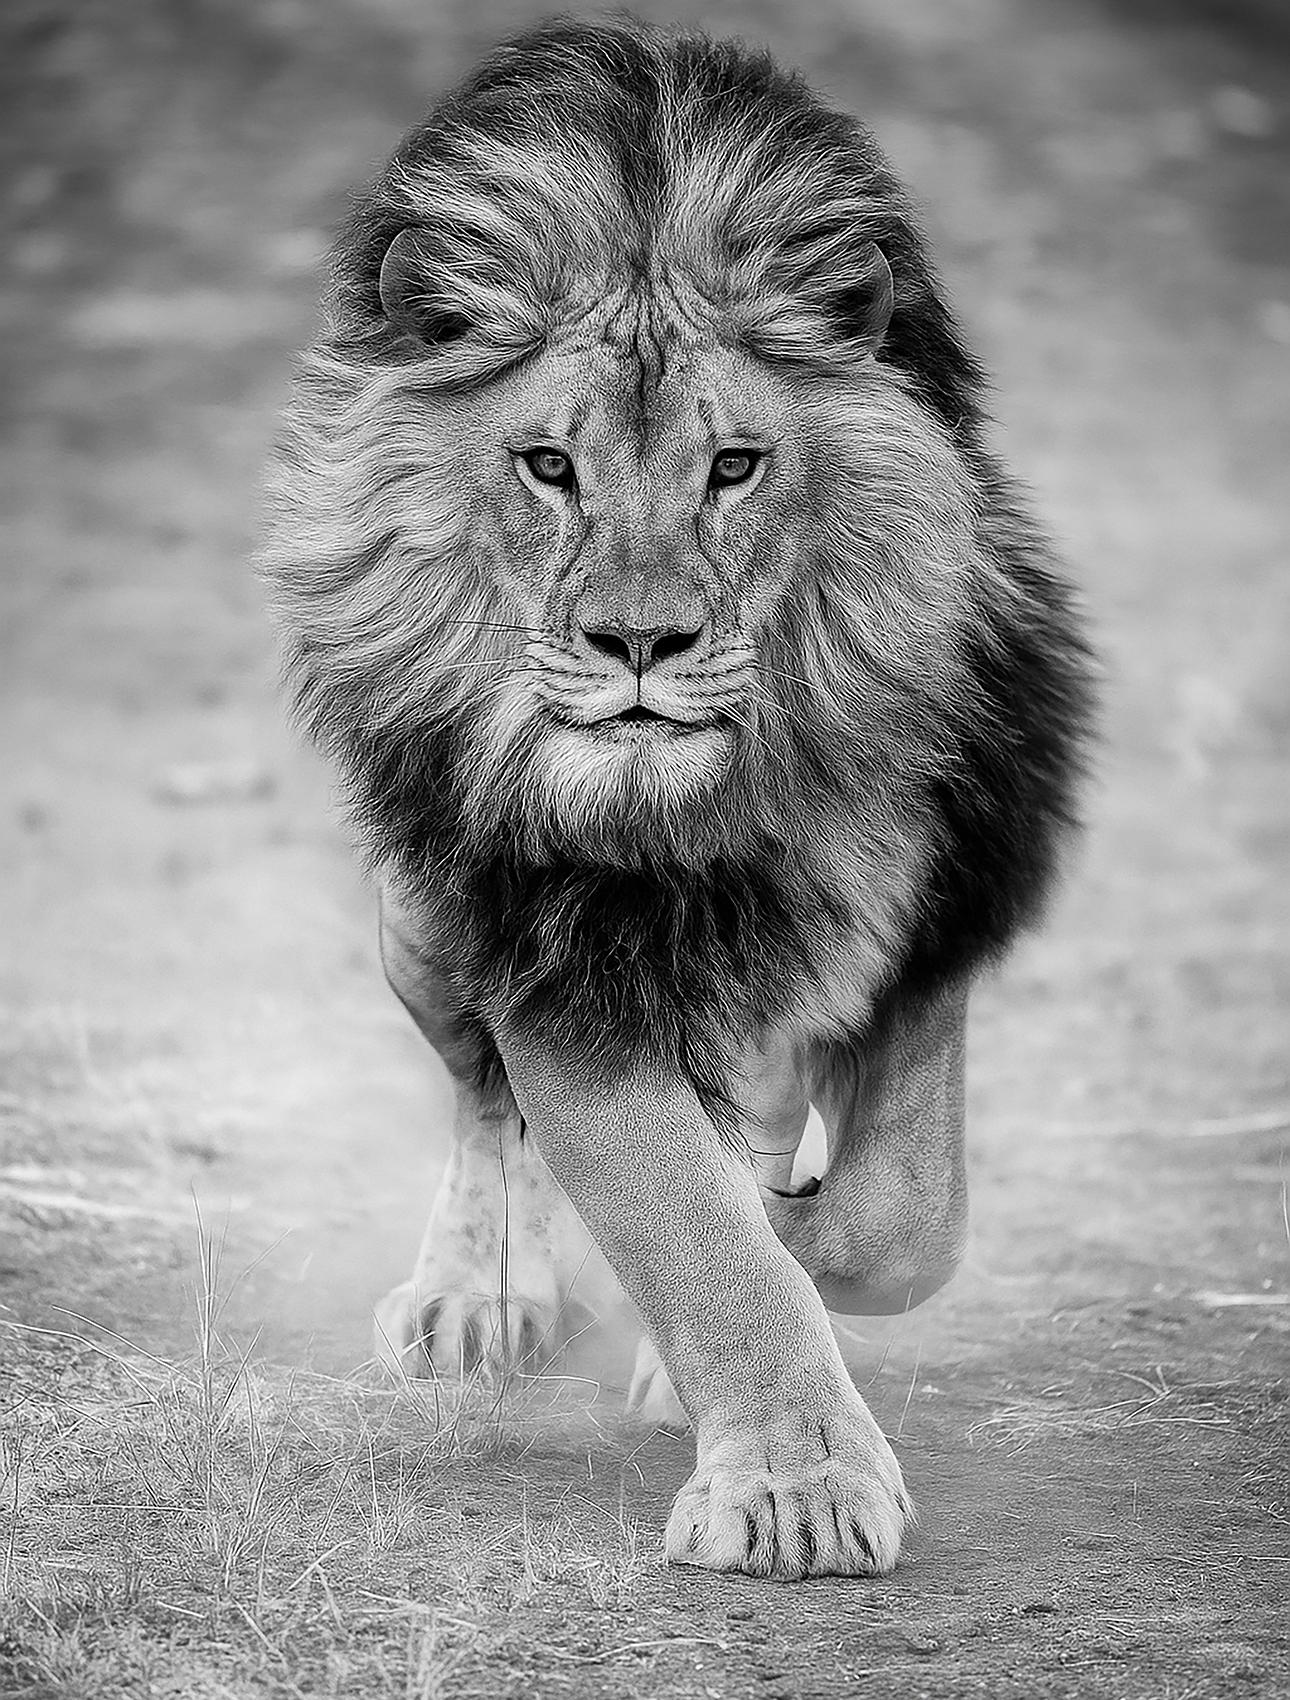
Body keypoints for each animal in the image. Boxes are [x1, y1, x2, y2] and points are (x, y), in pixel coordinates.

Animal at [260, 18, 1092, 1580]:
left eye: (735, 466)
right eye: (547, 466)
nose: (636, 644)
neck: (699, 811)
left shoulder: (937, 908)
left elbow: (899, 1219)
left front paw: (788, 1273)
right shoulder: (550, 964)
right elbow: (685, 1224)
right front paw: (795, 1487)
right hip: (420, 920)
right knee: (481, 1100)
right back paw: (478, 1300)